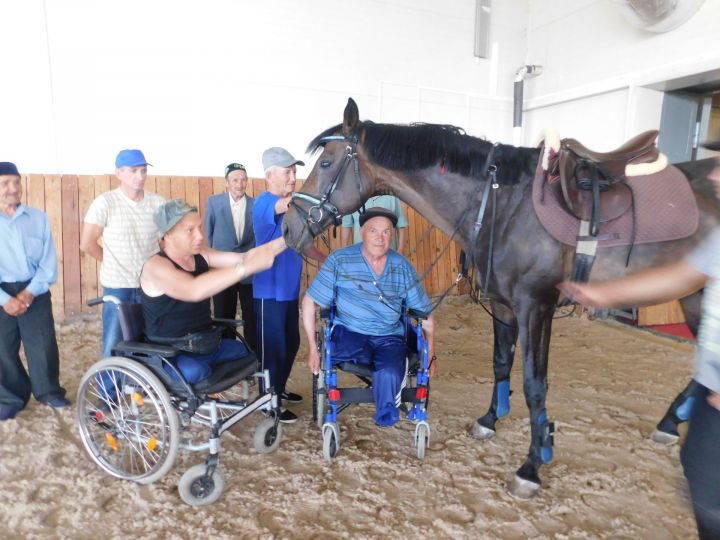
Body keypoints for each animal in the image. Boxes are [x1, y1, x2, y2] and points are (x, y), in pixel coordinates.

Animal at [282, 98, 720, 498]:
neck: (502, 206)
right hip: (694, 296)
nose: (288, 227)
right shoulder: (503, 305)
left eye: (326, 163)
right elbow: (500, 363)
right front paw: (492, 420)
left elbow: (534, 384)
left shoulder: (536, 307)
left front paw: (532, 464)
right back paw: (671, 421)